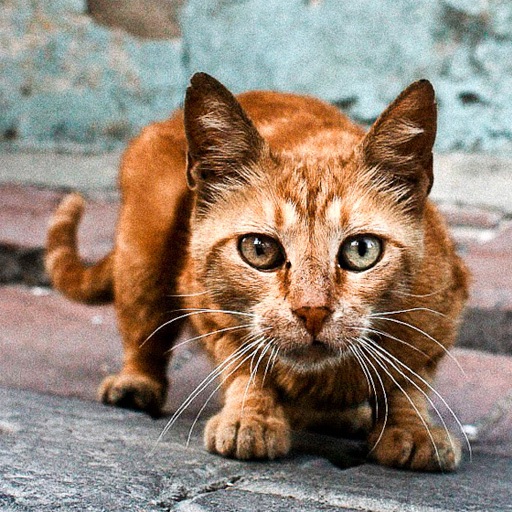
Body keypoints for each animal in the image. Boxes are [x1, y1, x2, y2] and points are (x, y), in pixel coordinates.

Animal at [46, 72, 470, 472]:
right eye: (260, 250)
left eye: (361, 250)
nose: (312, 311)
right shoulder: (207, 304)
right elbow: (244, 365)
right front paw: (251, 418)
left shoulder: (441, 315)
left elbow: (409, 383)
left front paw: (412, 428)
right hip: (145, 250)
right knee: (144, 331)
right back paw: (136, 383)